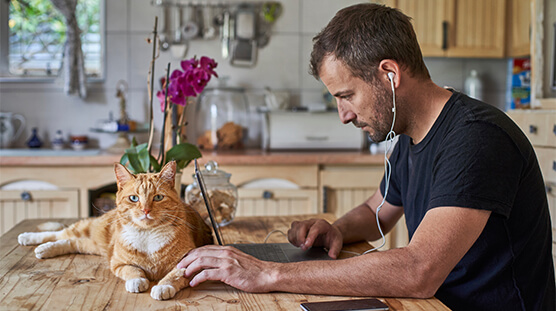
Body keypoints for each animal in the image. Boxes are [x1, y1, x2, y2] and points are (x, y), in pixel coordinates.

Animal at [17, 161, 213, 300]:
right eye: (134, 198)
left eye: (158, 197)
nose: (146, 210)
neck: (147, 235)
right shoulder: (118, 262)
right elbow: (132, 270)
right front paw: (137, 281)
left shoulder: (189, 262)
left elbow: (173, 275)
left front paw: (163, 286)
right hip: (89, 230)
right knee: (63, 233)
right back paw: (30, 238)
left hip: (92, 246)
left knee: (72, 242)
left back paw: (45, 249)